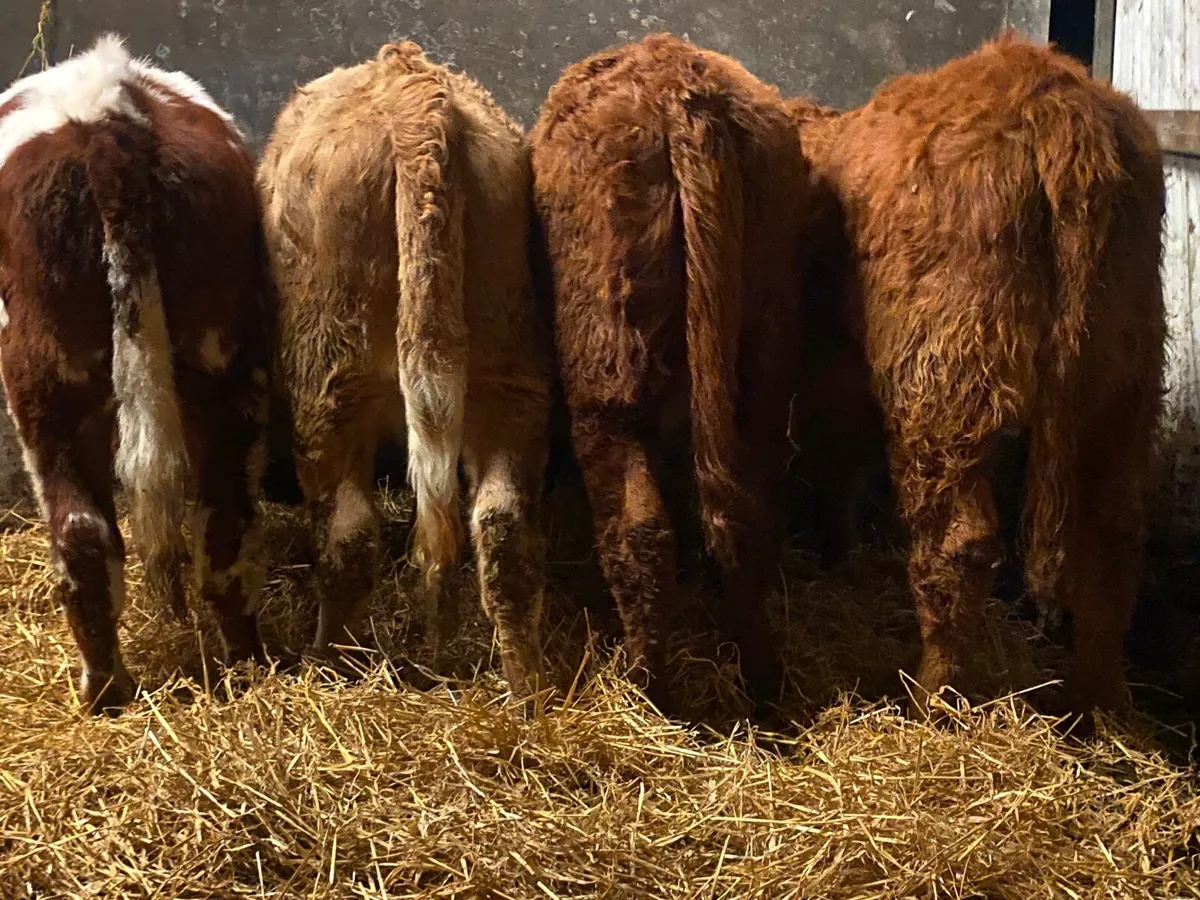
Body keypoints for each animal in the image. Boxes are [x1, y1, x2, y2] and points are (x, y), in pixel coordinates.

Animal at [0, 34, 270, 711]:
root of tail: (109, 118)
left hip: (44, 382)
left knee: (81, 534)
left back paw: (102, 689)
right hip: (226, 360)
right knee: (224, 523)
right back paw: (246, 668)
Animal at [257, 42, 552, 702]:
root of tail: (408, 84)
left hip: (328, 377)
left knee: (348, 535)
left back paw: (327, 669)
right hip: (508, 374)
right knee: (501, 527)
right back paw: (527, 692)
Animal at [529, 33, 815, 716]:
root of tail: (679, 89)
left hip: (607, 383)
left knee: (640, 531)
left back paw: (649, 692)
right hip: (761, 370)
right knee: (747, 516)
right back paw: (765, 693)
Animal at [785, 31, 1167, 720]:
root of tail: (1053, 97)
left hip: (945, 387)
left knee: (957, 548)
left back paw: (932, 699)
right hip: (1123, 386)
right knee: (1114, 540)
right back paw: (1095, 712)